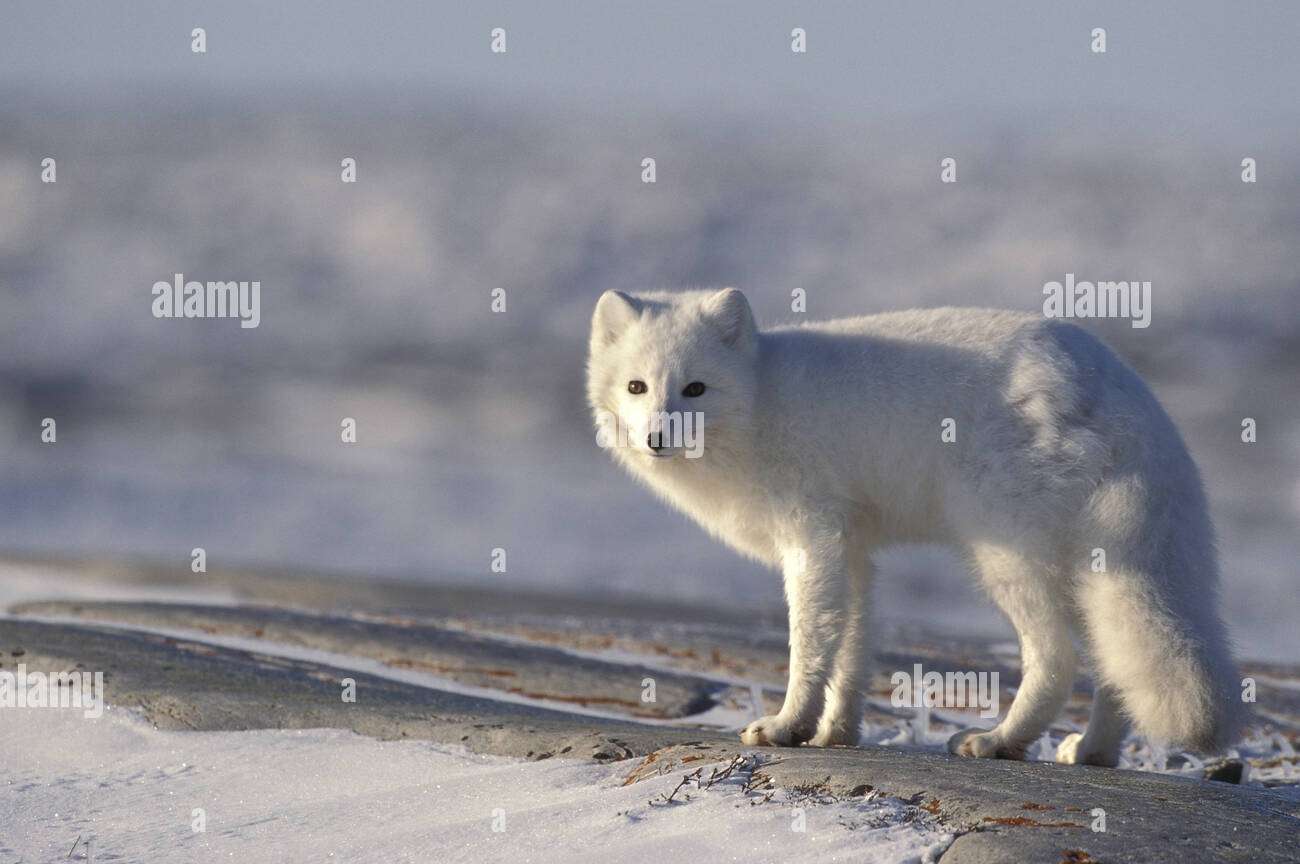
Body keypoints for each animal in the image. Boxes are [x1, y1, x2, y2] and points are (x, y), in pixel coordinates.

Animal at [587, 288, 1237, 763]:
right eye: (637, 387)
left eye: (695, 388)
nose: (658, 437)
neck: (761, 399)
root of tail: (1116, 385)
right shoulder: (852, 547)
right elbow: (853, 647)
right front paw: (837, 733)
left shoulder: (812, 538)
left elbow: (811, 643)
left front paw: (787, 727)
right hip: (1087, 568)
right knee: (1112, 662)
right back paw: (1093, 753)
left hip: (1005, 554)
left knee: (1059, 659)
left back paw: (998, 742)